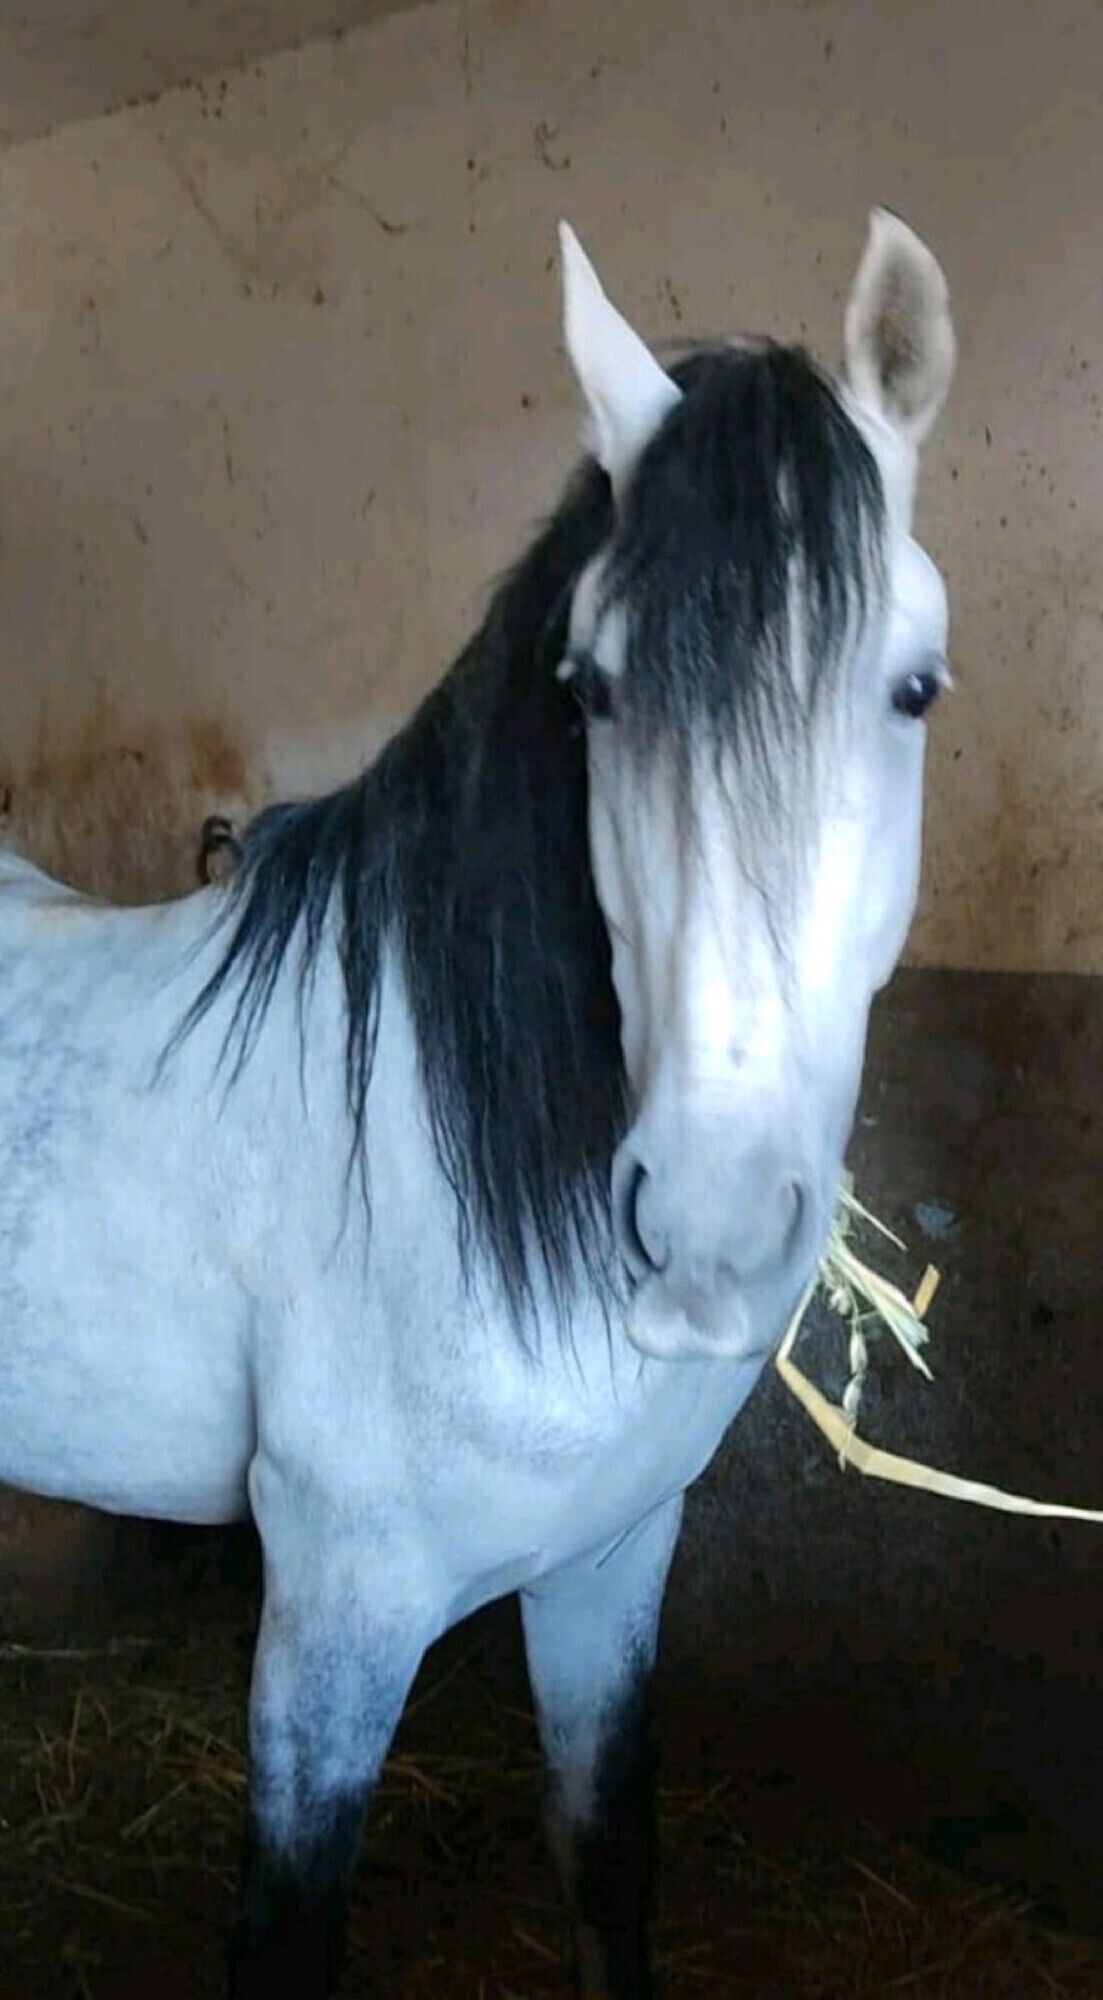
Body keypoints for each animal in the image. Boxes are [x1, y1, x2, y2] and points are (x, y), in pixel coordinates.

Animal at [0, 209, 956, 1997]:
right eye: (584, 686)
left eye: (913, 689)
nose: (706, 1227)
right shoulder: (335, 1611)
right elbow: (288, 1937)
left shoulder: (610, 1563)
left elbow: (605, 1854)